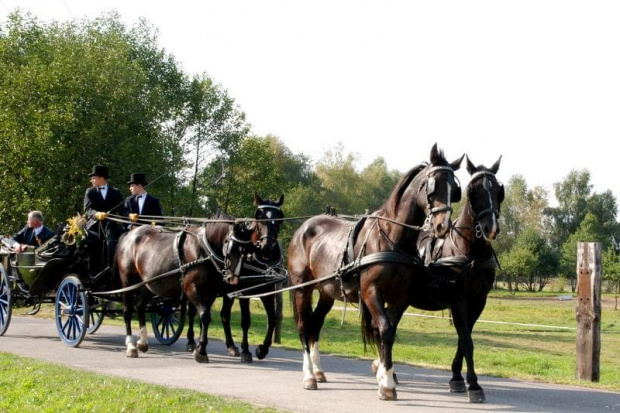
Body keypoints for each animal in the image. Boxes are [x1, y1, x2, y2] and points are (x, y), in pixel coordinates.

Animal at [115, 192, 284, 362]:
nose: (267, 248)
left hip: (149, 284)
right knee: (128, 310)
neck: (205, 249)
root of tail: (130, 235)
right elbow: (212, 317)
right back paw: (132, 346)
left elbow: (271, 318)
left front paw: (261, 350)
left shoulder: (219, 291)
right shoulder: (196, 288)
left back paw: (143, 342)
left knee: (140, 306)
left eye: (279, 218)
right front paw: (203, 350)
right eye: (259, 217)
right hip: (128, 281)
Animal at [288, 142, 462, 400]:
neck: (392, 240)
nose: (443, 226)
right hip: (303, 287)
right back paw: (309, 375)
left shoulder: (401, 298)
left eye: (455, 189)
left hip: (327, 292)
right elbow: (385, 330)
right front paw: (387, 383)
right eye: (433, 186)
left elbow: (386, 332)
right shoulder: (371, 292)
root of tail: (304, 227)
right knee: (303, 325)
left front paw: (384, 376)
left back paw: (318, 371)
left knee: (315, 324)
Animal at [414, 155, 502, 402]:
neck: (470, 253)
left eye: (498, 191)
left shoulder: (478, 301)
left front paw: (457, 378)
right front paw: (474, 385)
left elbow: (465, 338)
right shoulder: (458, 299)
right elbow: (466, 340)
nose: (491, 228)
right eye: (473, 191)